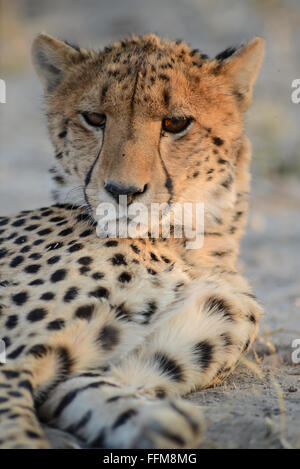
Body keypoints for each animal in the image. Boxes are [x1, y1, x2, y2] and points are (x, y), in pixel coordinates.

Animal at [0, 33, 264, 446]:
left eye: (176, 122)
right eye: (94, 118)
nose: (122, 191)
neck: (187, 246)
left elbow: (91, 392)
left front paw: (156, 421)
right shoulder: (10, 359)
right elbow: (16, 426)